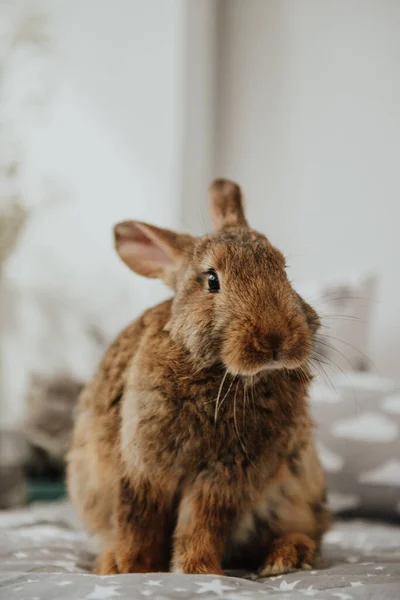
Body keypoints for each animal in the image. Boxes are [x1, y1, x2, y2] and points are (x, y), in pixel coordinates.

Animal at [66, 178, 332, 576]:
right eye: (211, 280)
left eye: (283, 270)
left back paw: (285, 557)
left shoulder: (225, 476)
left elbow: (202, 524)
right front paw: (129, 568)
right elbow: (138, 521)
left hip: (296, 490)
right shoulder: (144, 464)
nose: (276, 339)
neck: (220, 375)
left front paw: (197, 570)